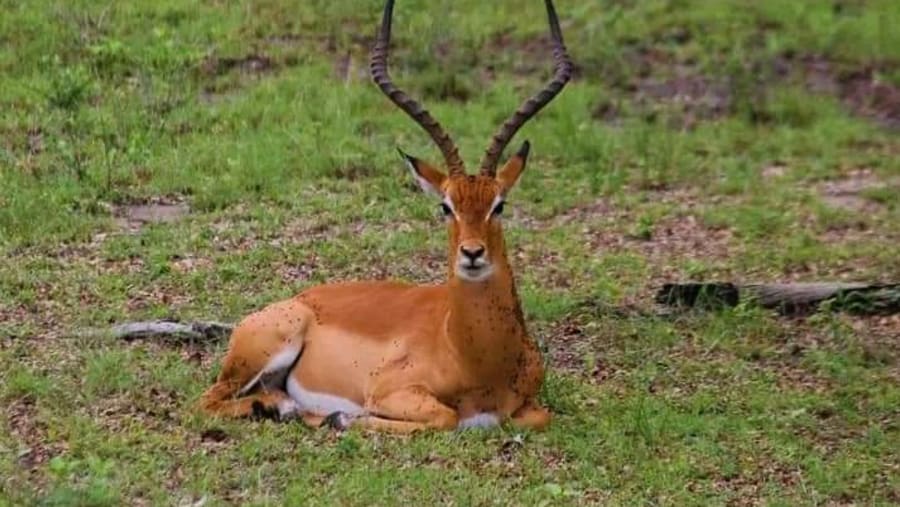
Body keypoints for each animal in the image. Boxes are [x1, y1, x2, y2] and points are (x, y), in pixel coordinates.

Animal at [199, 0, 572, 433]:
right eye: (445, 206)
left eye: (499, 205)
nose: (472, 253)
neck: (474, 357)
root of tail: (298, 299)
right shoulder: (389, 392)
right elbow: (444, 417)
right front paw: (342, 417)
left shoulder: (529, 409)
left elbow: (538, 416)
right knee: (207, 401)